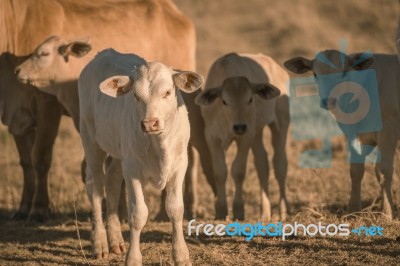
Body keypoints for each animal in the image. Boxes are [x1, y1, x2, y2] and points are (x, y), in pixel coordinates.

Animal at [78, 49, 203, 264]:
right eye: (136, 95)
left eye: (167, 92)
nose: (150, 123)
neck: (159, 144)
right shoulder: (133, 170)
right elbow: (138, 214)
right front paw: (133, 258)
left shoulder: (179, 165)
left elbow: (176, 209)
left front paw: (181, 255)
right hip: (90, 139)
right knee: (96, 187)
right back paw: (100, 243)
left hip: (119, 155)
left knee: (111, 184)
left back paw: (116, 240)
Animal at [195, 52, 290, 220]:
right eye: (224, 101)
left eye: (250, 99)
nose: (239, 126)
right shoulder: (211, 137)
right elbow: (219, 172)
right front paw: (221, 210)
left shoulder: (246, 136)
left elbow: (238, 171)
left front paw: (238, 209)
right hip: (257, 133)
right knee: (262, 164)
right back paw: (265, 213)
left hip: (280, 125)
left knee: (280, 164)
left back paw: (283, 211)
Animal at [284, 50, 400, 218]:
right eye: (315, 73)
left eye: (344, 72)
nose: (329, 100)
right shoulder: (354, 135)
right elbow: (356, 171)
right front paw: (353, 210)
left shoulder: (389, 130)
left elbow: (383, 170)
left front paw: (388, 212)